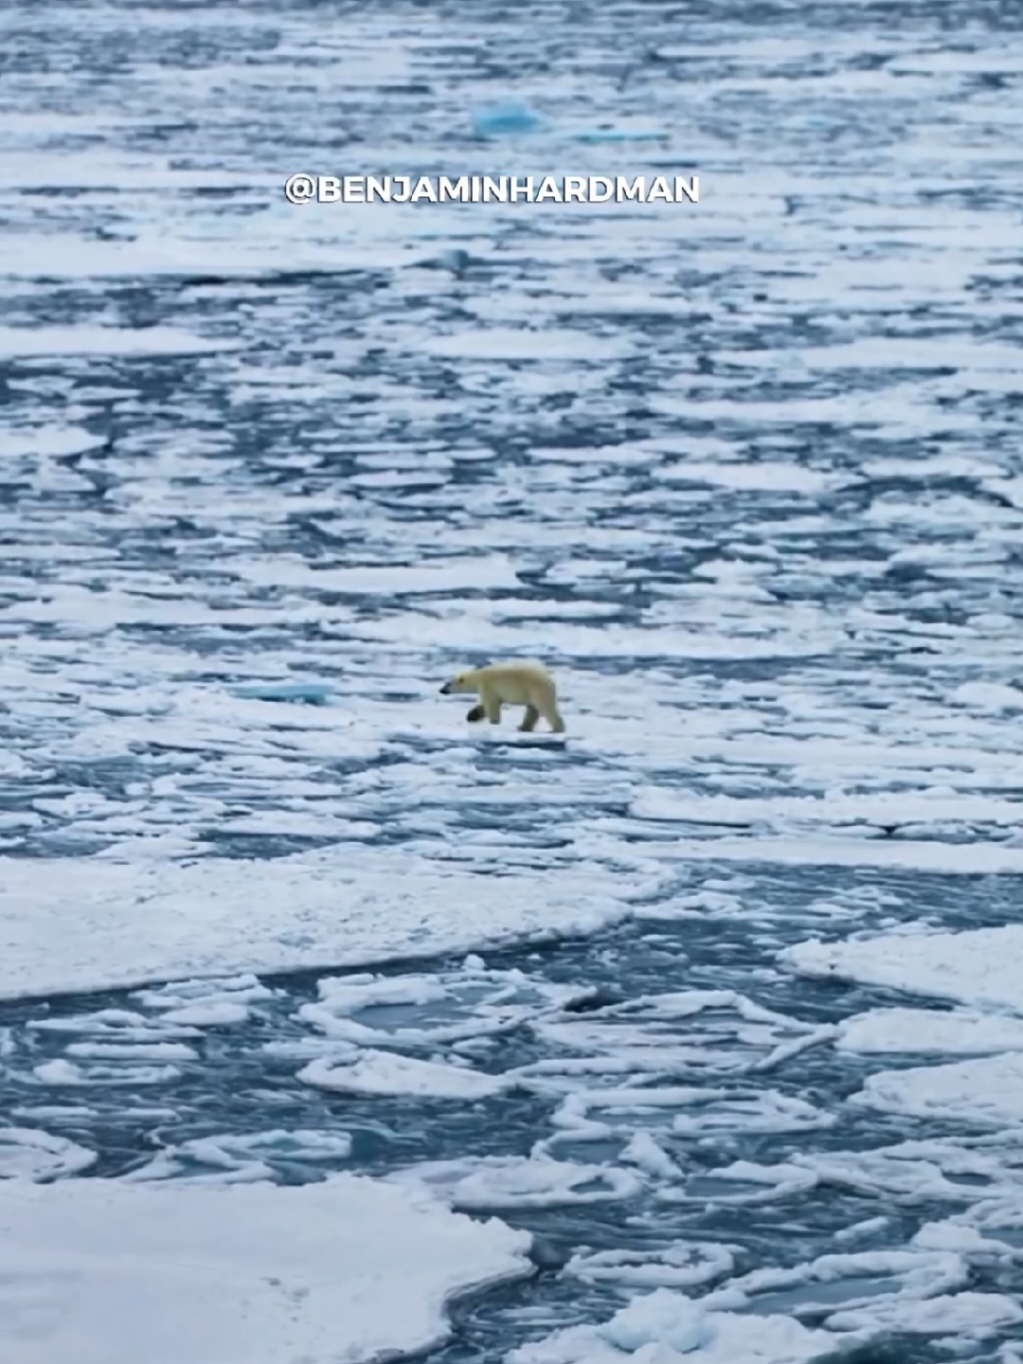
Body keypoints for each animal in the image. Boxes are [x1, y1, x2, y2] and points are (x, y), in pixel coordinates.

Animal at [441, 662, 570, 736]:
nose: (441, 690)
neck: (479, 676)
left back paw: (556, 729)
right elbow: (484, 705)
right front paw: (471, 716)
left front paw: (494, 722)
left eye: (448, 684)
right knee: (532, 709)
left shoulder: (488, 686)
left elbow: (491, 704)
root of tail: (550, 681)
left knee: (546, 707)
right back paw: (522, 727)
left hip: (537, 690)